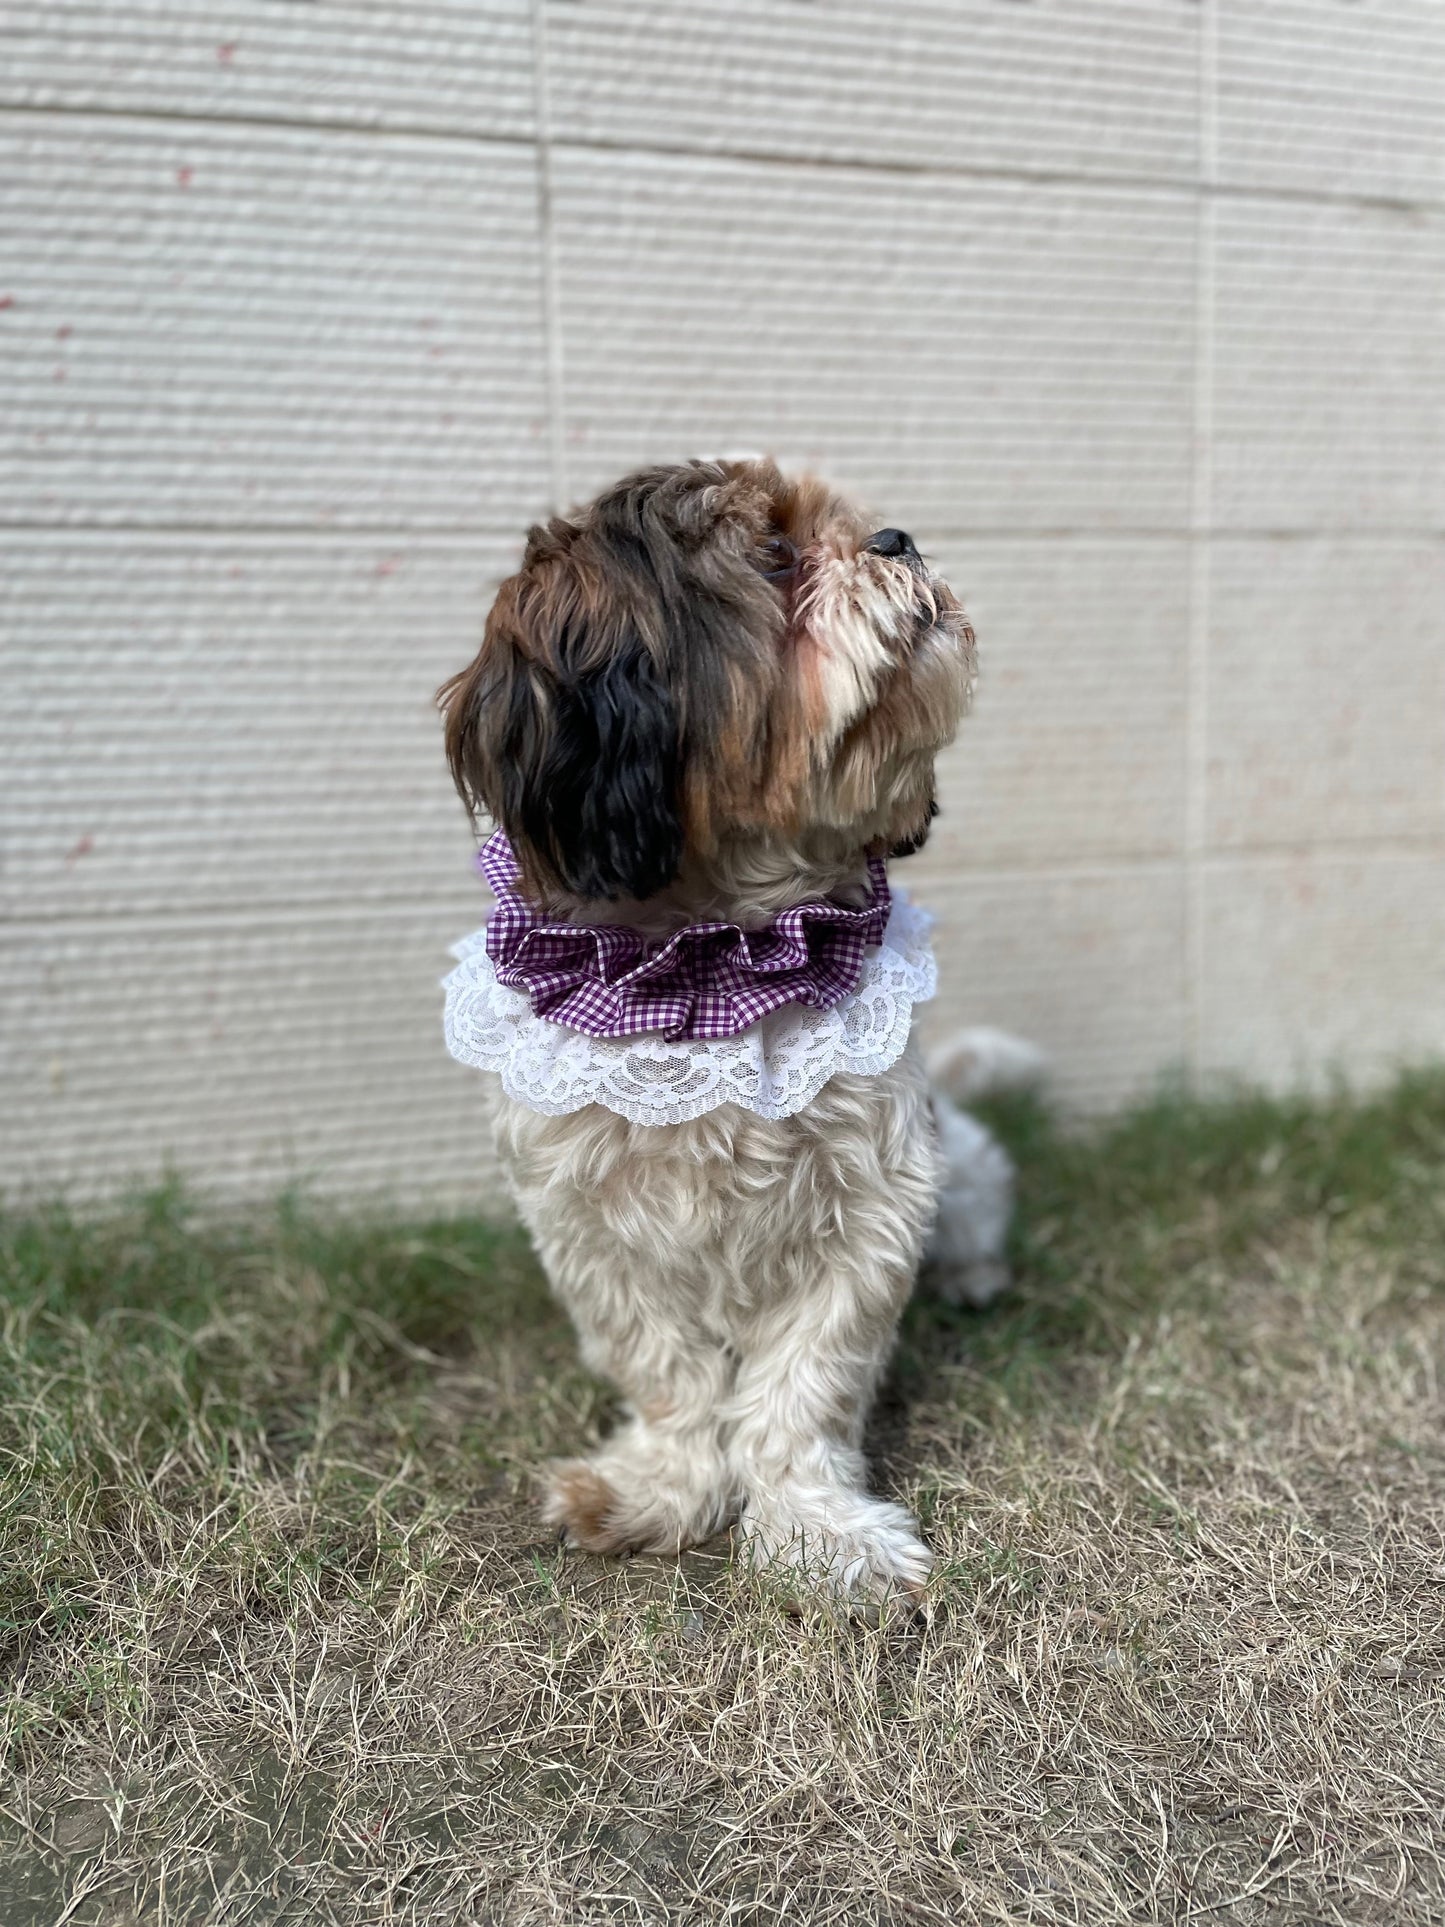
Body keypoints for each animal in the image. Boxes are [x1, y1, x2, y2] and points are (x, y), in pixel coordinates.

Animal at [435, 458, 1032, 1603]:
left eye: (850, 527)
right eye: (774, 556)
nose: (896, 538)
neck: (714, 958)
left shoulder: (872, 1207)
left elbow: (802, 1391)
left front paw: (816, 1535)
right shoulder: (586, 1225)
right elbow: (667, 1374)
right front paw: (657, 1489)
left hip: (968, 1167)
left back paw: (972, 1280)